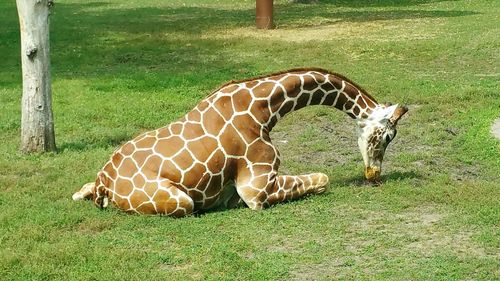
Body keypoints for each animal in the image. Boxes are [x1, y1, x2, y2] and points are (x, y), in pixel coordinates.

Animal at [73, 66, 406, 215]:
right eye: (389, 136)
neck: (264, 109)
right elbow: (323, 178)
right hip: (181, 201)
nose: (373, 175)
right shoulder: (255, 191)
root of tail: (105, 183)